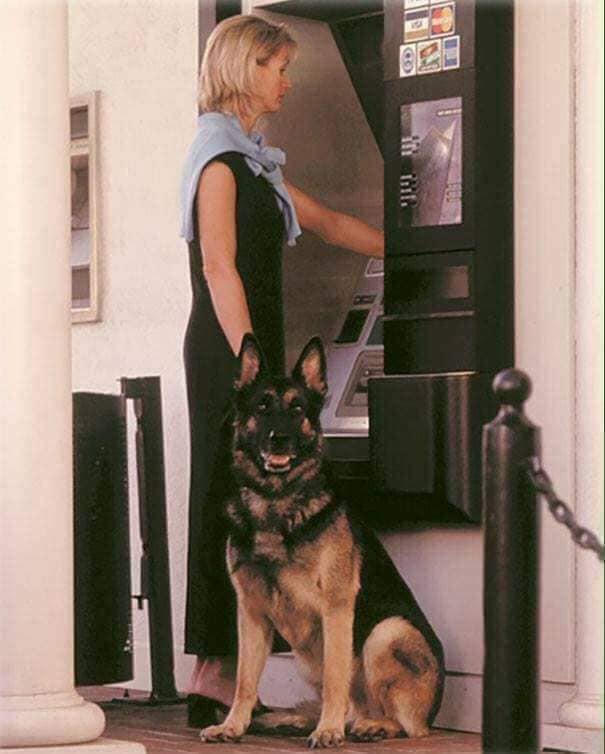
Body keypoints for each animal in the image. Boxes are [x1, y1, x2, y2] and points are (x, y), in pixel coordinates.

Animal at [200, 334, 444, 748]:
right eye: (262, 405)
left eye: (297, 408)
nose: (279, 438)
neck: (276, 503)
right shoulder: (250, 613)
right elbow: (244, 681)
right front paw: (233, 725)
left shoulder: (336, 609)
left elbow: (335, 677)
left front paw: (327, 730)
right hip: (306, 656)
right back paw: (304, 720)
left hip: (385, 634)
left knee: (409, 725)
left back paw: (369, 725)